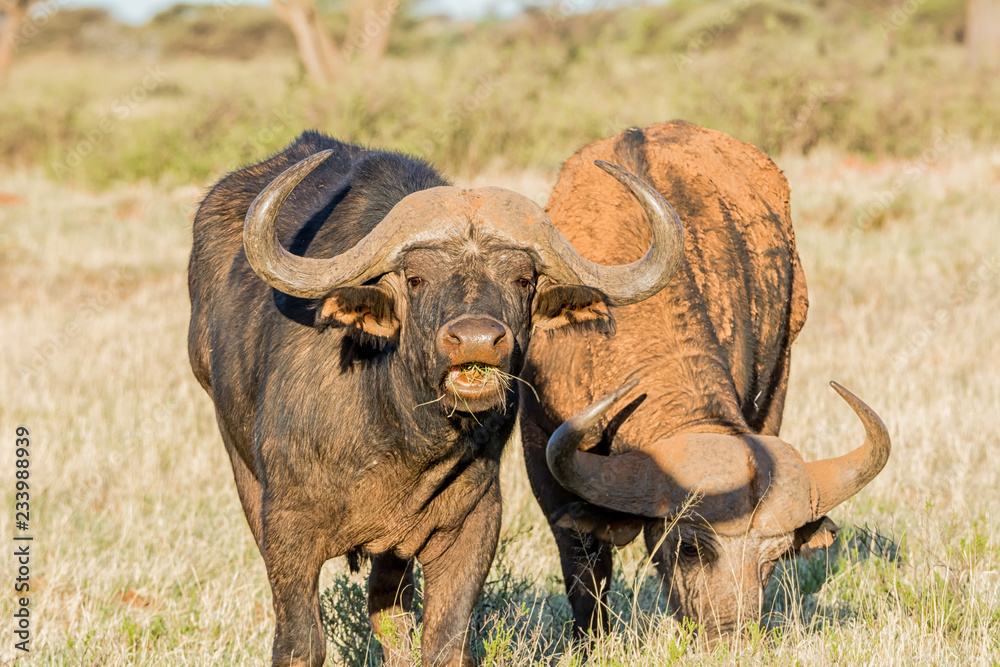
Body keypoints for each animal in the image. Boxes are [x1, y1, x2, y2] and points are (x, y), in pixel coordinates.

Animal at [186, 131, 686, 666]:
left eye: (522, 280)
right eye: (416, 278)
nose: (477, 340)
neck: (396, 433)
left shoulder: (473, 527)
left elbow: (444, 639)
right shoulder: (287, 529)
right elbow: (301, 642)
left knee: (389, 611)